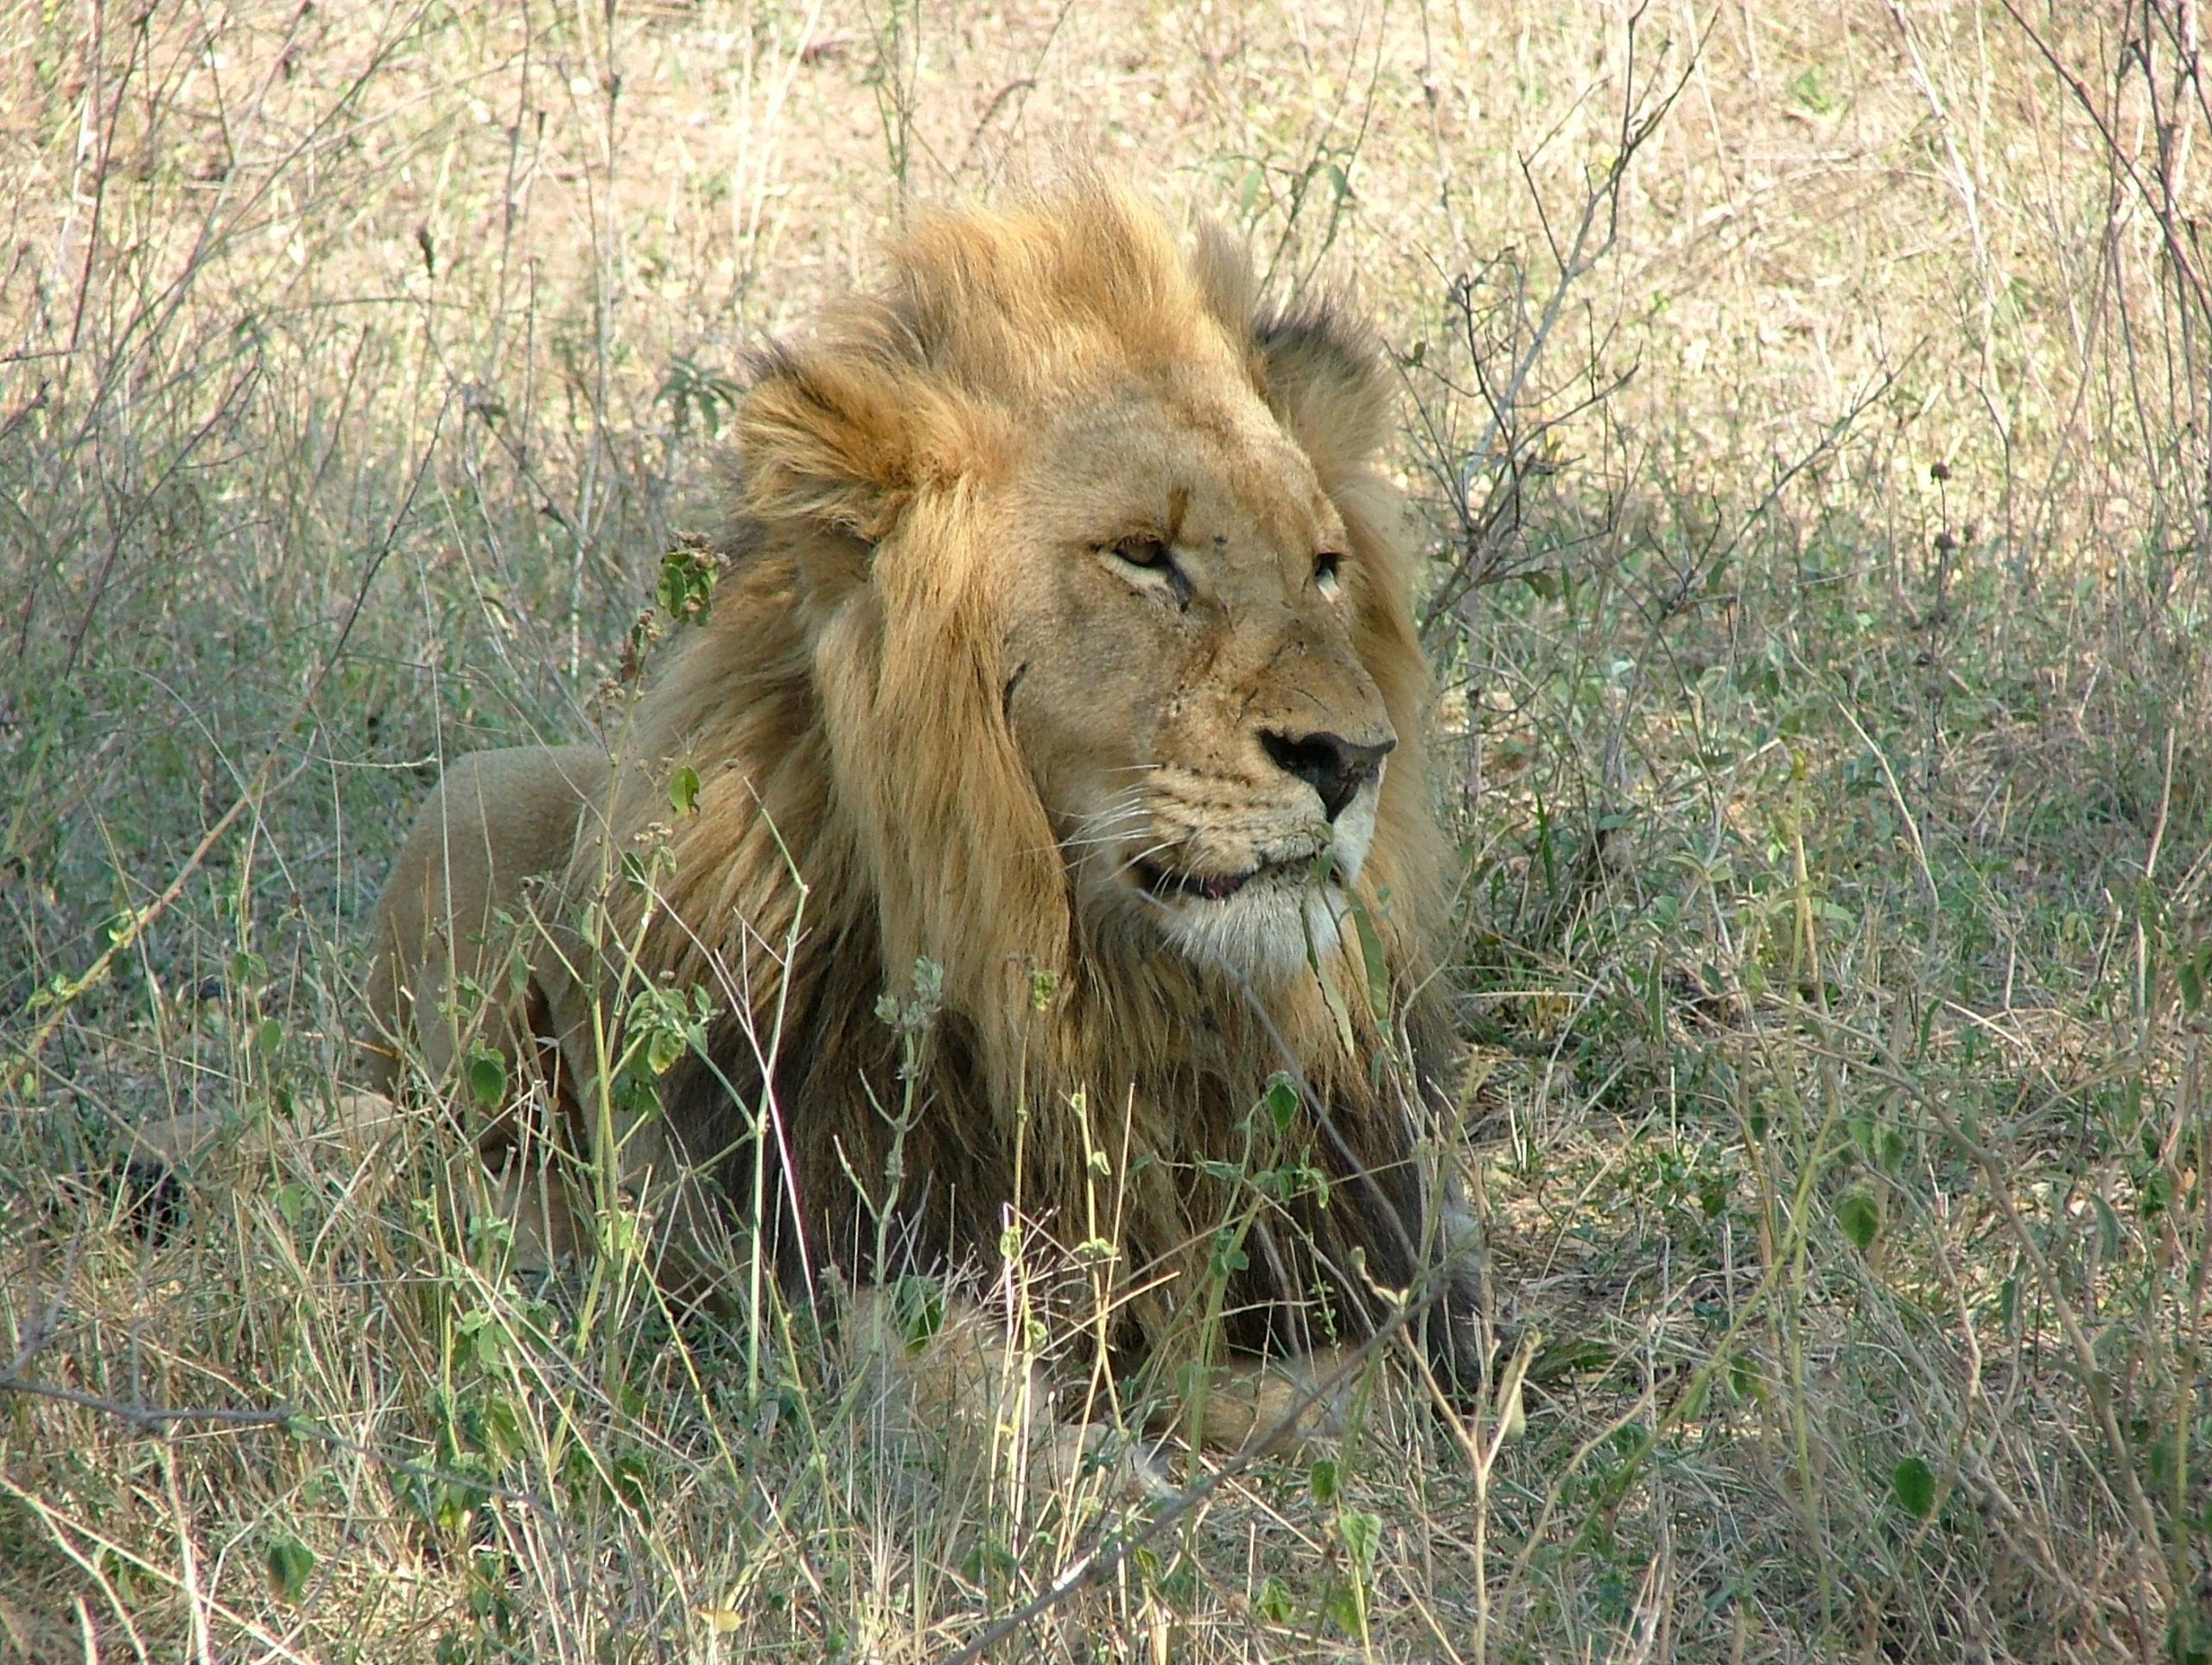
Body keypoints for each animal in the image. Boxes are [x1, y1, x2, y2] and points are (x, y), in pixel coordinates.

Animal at [365, 184, 1482, 1442]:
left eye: (1325, 566)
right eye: (1142, 556)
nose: (1352, 758)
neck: (1099, 1008)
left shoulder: (1386, 1260)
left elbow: (1358, 1385)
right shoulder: (792, 1256)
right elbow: (938, 1382)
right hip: (476, 796)